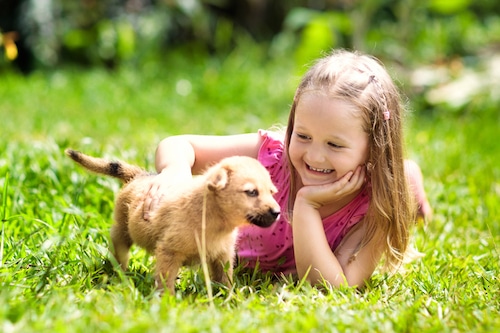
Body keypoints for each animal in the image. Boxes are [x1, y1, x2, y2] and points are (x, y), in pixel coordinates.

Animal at [64, 150, 280, 294]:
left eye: (271, 191)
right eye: (251, 192)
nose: (277, 212)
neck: (212, 218)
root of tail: (140, 175)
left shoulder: (222, 256)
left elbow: (224, 280)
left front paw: (228, 298)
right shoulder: (170, 253)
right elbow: (165, 281)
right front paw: (166, 301)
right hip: (122, 231)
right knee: (119, 251)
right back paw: (118, 274)